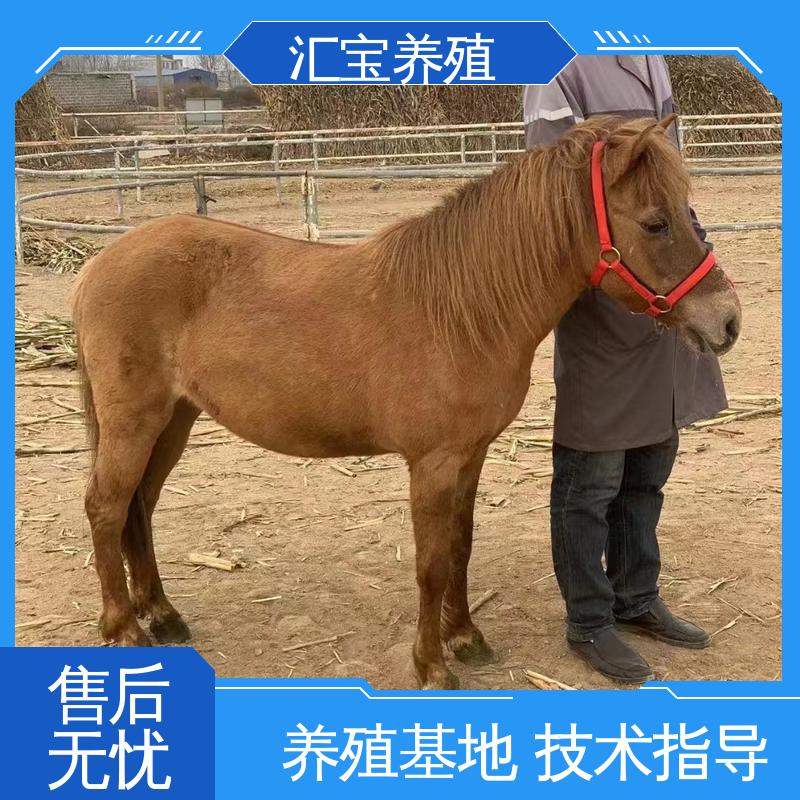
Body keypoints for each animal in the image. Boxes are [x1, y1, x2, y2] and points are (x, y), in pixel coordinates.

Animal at [71, 115, 741, 690]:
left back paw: (161, 614)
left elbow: (461, 546)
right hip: (135, 422)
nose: (728, 321)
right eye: (655, 222)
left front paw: (466, 638)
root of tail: (100, 263)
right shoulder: (433, 463)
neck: (464, 308)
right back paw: (125, 629)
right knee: (106, 507)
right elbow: (431, 563)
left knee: (138, 507)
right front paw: (433, 666)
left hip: (174, 421)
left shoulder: (471, 456)